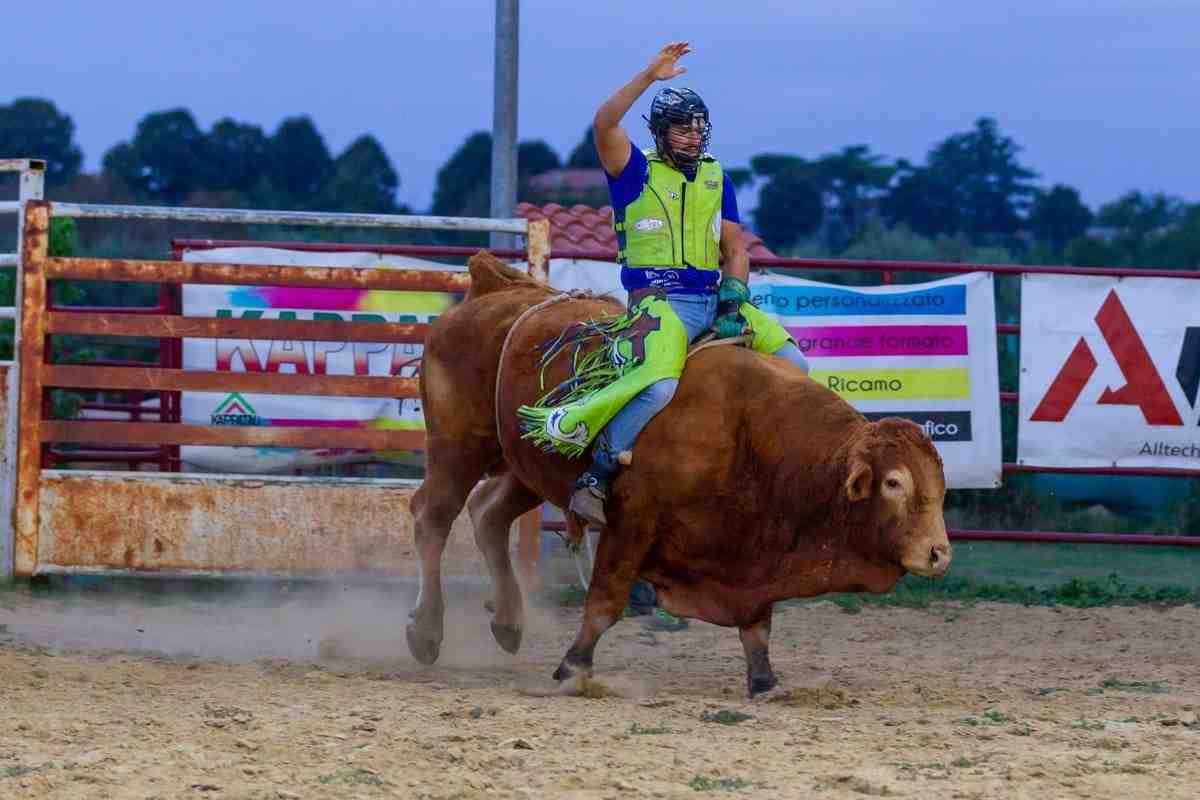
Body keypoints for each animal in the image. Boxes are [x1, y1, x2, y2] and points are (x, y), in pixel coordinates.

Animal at [408, 251, 950, 695]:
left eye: (939, 487)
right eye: (894, 482)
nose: (938, 553)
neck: (750, 433)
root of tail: (492, 289)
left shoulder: (755, 548)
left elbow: (758, 623)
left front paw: (764, 679)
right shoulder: (632, 521)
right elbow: (605, 600)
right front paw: (574, 666)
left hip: (526, 465)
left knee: (488, 514)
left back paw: (507, 622)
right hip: (457, 446)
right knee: (433, 517)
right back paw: (426, 631)